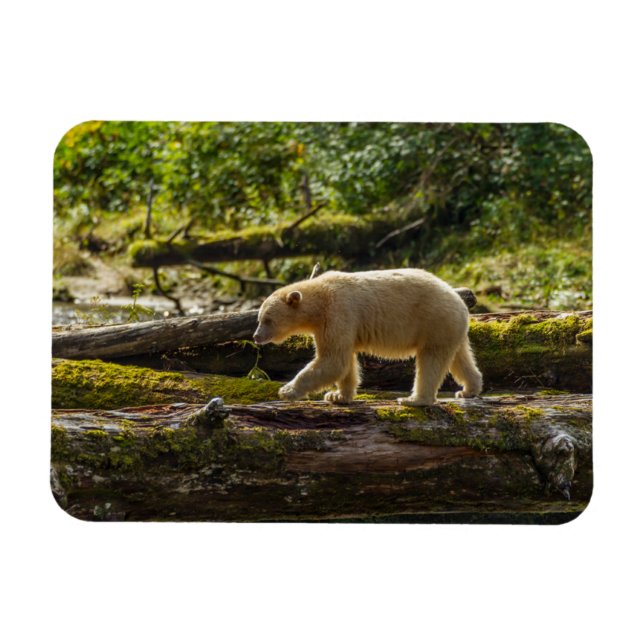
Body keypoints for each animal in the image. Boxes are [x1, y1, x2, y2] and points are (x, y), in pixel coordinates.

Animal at [252, 268, 483, 406]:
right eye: (259, 318)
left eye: (267, 319)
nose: (256, 336)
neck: (320, 298)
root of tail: (460, 302)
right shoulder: (333, 323)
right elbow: (344, 361)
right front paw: (338, 396)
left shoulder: (338, 312)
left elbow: (333, 360)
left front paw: (287, 390)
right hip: (450, 328)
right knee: (460, 357)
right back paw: (468, 389)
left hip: (433, 321)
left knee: (430, 361)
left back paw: (414, 399)